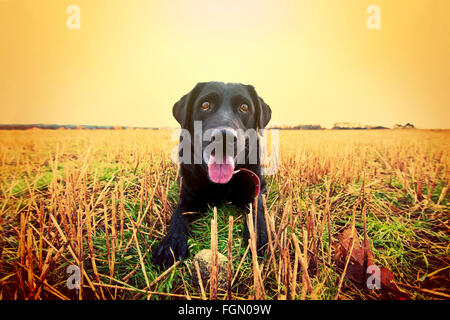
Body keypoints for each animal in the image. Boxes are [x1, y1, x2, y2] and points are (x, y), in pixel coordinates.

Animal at [153, 81, 272, 268]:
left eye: (244, 107)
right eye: (205, 105)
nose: (224, 136)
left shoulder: (258, 187)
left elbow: (257, 208)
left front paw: (257, 236)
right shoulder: (186, 195)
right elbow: (178, 214)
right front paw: (171, 243)